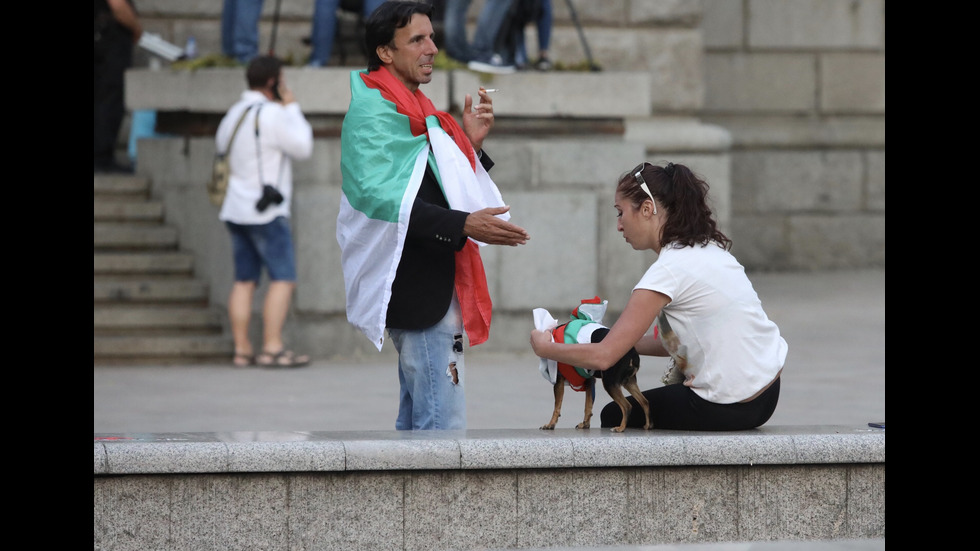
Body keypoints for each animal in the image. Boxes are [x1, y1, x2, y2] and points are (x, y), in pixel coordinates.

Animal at [532, 298, 656, 432]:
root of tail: (632, 354)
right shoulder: (590, 381)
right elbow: (588, 405)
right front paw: (585, 424)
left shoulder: (559, 382)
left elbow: (557, 407)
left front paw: (550, 424)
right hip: (628, 381)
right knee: (645, 401)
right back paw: (648, 425)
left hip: (610, 382)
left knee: (627, 406)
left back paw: (620, 428)